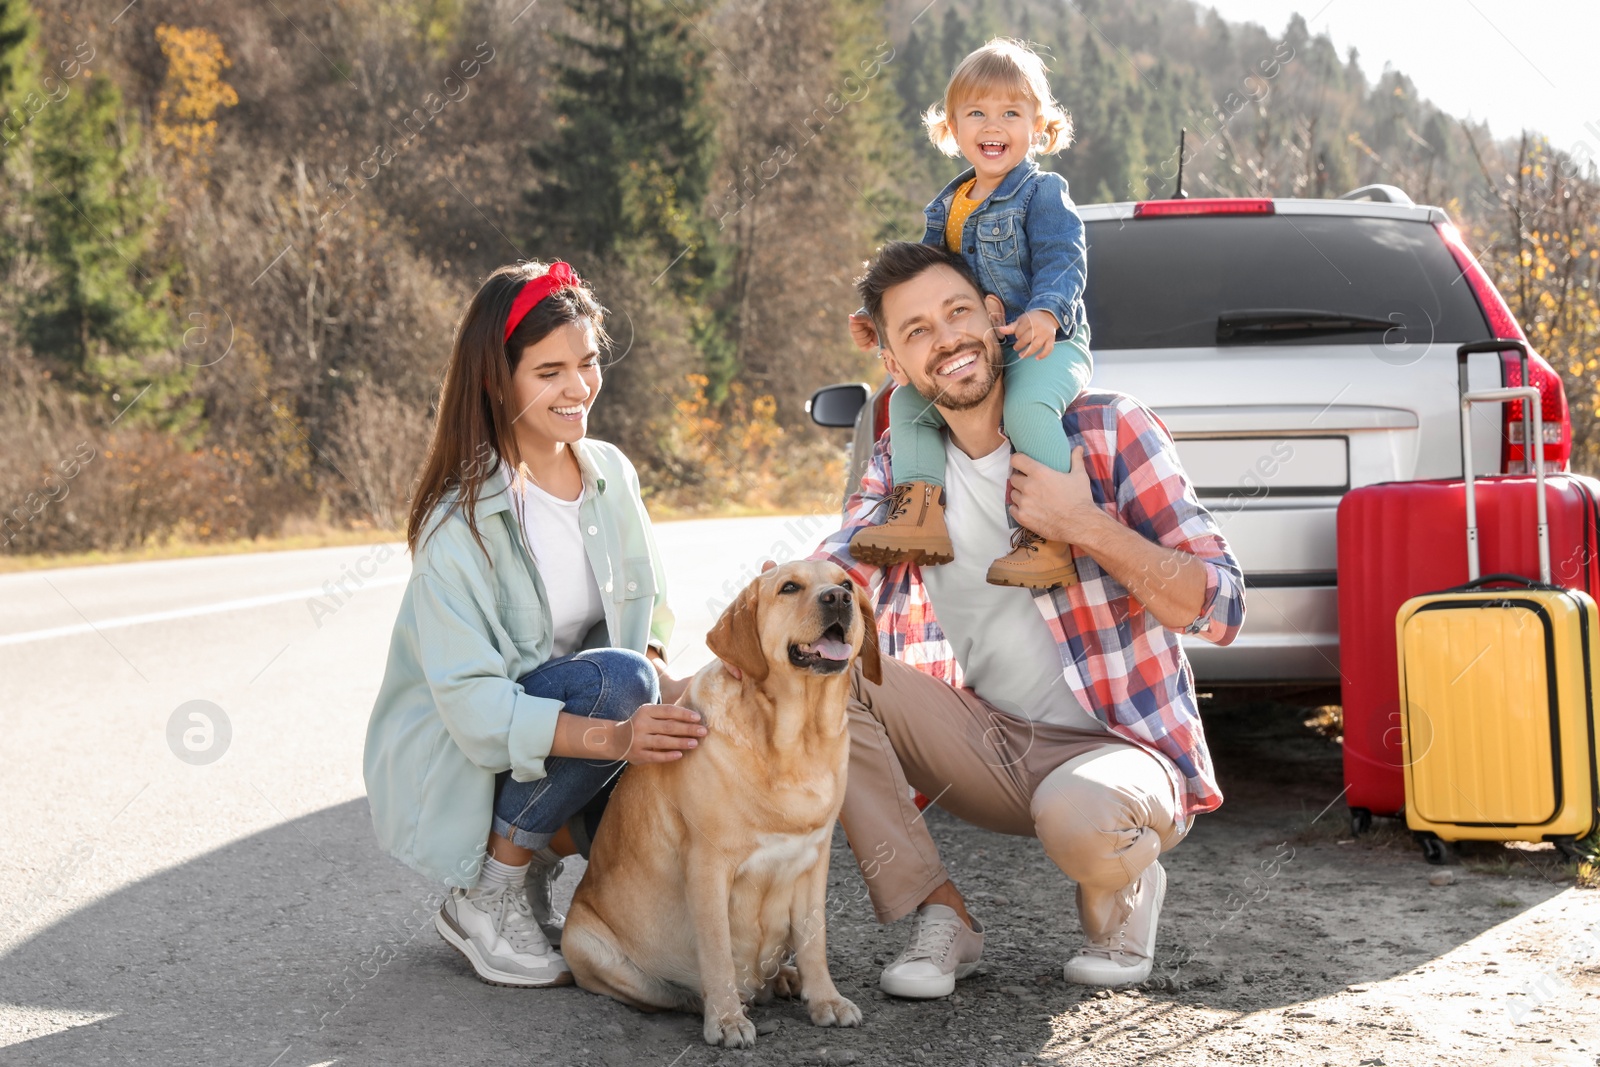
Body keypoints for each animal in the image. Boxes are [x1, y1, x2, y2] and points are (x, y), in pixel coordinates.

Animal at [563, 563, 883, 1049]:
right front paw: (728, 1019)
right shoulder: (708, 865)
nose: (838, 599)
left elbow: (814, 941)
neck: (796, 740)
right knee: (673, 992)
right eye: (789, 587)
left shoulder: (815, 862)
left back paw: (784, 978)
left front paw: (826, 999)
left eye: (846, 584)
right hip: (585, 943)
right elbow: (716, 951)